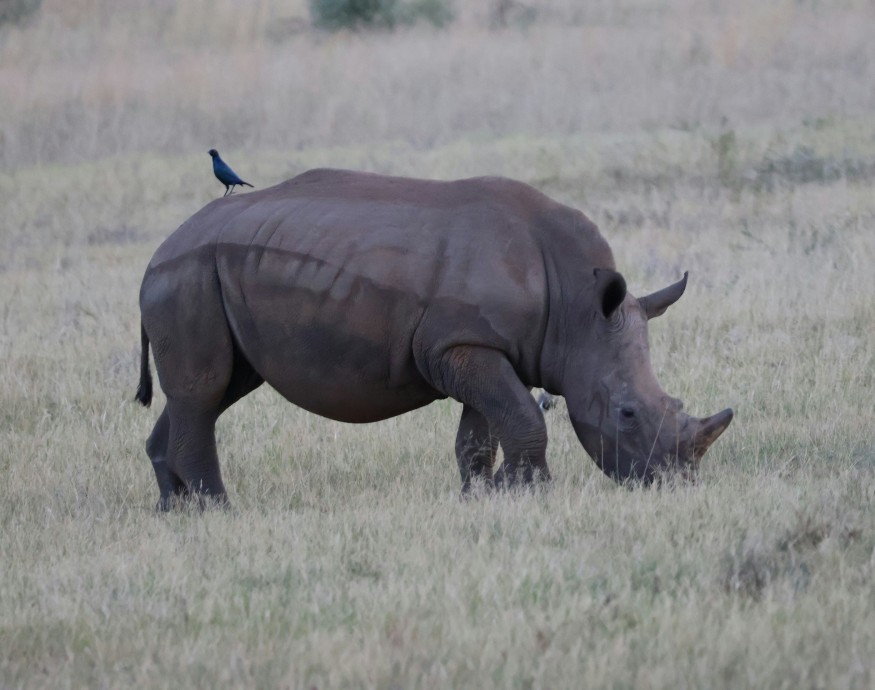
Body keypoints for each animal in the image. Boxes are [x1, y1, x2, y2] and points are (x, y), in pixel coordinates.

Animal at [136, 168, 732, 508]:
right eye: (628, 414)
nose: (674, 483)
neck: (578, 310)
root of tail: (159, 249)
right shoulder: (461, 346)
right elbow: (523, 417)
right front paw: (528, 494)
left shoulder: (481, 346)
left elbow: (482, 431)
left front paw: (482, 497)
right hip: (188, 276)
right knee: (205, 390)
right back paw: (217, 510)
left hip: (212, 274)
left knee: (215, 390)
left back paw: (173, 509)